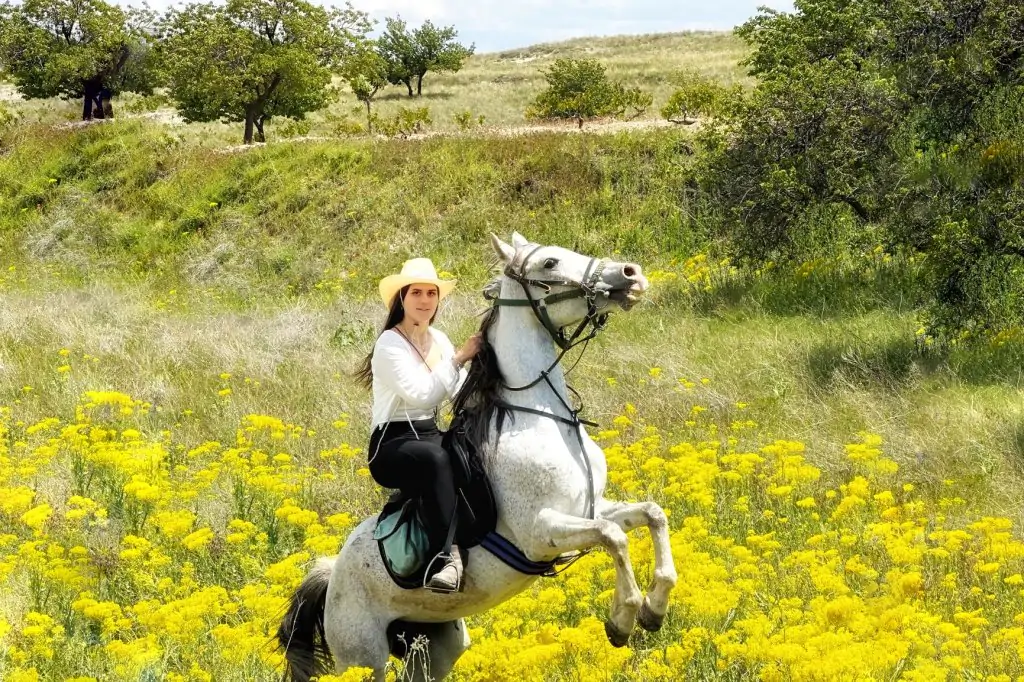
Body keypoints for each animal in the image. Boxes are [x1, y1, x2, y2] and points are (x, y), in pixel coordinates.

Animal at [278, 231, 679, 675]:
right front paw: (622, 620)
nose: (631, 275)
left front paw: (654, 610)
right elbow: (614, 537)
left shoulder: (589, 509)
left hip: (435, 644)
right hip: (362, 657)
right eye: (550, 263)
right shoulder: (539, 533)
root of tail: (331, 573)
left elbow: (651, 514)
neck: (540, 416)